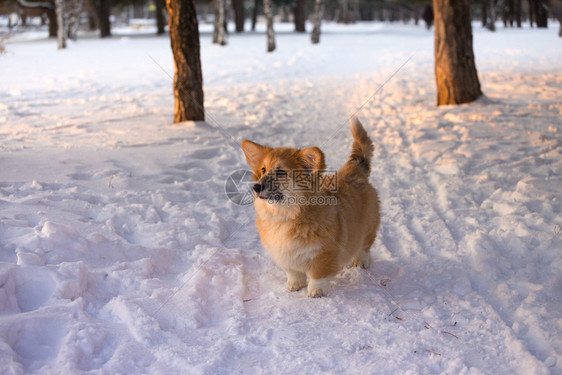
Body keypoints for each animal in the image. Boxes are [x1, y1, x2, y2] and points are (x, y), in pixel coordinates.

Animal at [238, 119, 378, 298]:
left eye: (281, 172)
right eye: (263, 170)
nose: (256, 187)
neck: (286, 215)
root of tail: (354, 172)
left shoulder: (322, 254)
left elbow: (318, 276)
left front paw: (316, 292)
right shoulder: (286, 257)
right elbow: (294, 273)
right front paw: (294, 285)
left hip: (368, 228)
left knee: (365, 247)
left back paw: (361, 262)